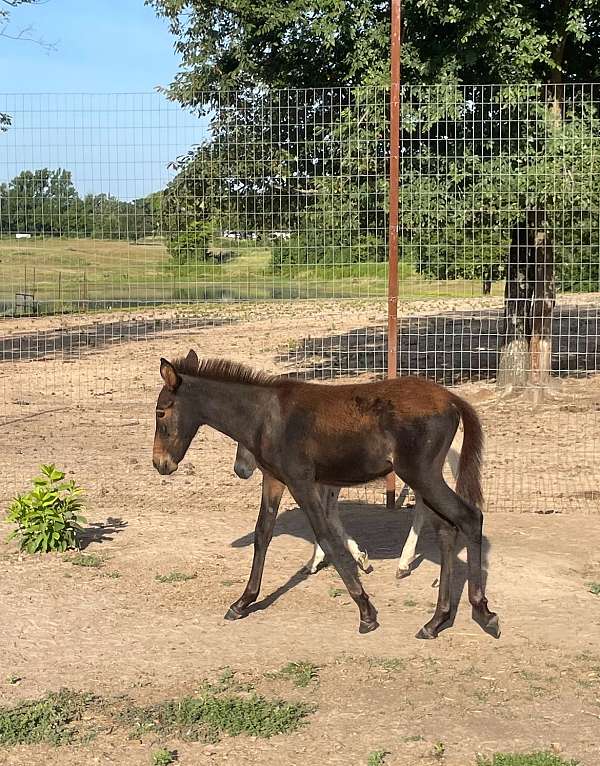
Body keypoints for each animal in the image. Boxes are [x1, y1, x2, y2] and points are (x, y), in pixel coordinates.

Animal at [233, 438, 461, 578]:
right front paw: (359, 559)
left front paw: (316, 561)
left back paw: (404, 563)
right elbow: (327, 514)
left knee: (424, 503)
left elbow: (325, 514)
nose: (240, 470)